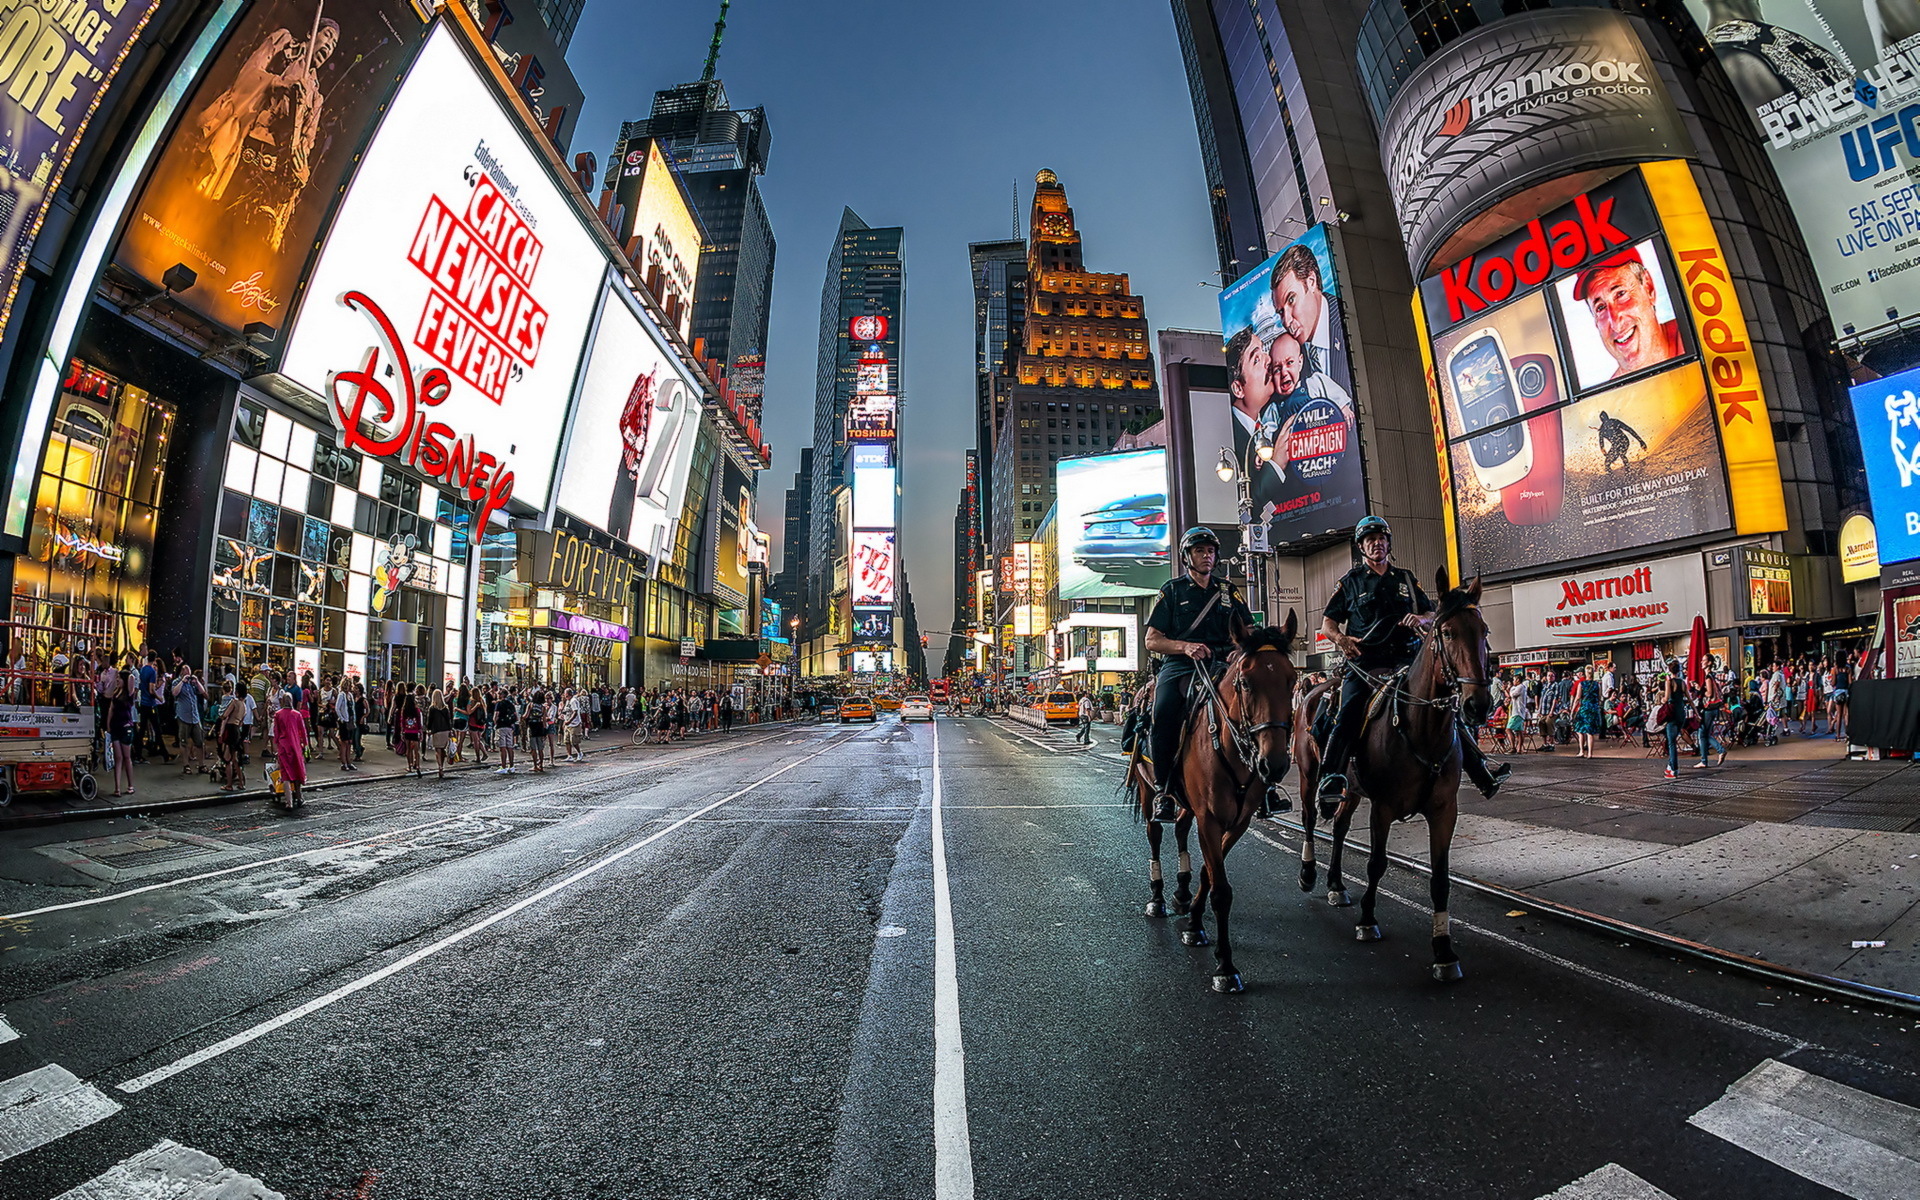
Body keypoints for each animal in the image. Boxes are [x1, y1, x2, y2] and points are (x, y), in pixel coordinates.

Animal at [1128, 614, 1297, 990]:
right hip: (1148, 789)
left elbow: (1209, 873)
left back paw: (1180, 893)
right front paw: (1226, 966)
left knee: (1179, 829)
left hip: (1188, 803)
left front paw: (1193, 920)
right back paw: (1158, 897)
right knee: (1154, 834)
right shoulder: (1210, 818)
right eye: (1245, 682)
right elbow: (1221, 889)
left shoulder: (1237, 821)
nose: (1275, 764)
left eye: (1292, 680)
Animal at [1290, 572, 1497, 983]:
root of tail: (1315, 688)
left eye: (1482, 630)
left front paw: (1443, 951)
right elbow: (1377, 863)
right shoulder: (1383, 808)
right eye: (1446, 632)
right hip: (1308, 776)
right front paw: (1368, 920)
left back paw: (1336, 884)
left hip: (1351, 790)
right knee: (1308, 820)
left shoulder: (1444, 812)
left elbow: (1440, 879)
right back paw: (1308, 873)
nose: (1477, 705)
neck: (1422, 729)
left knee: (1339, 828)